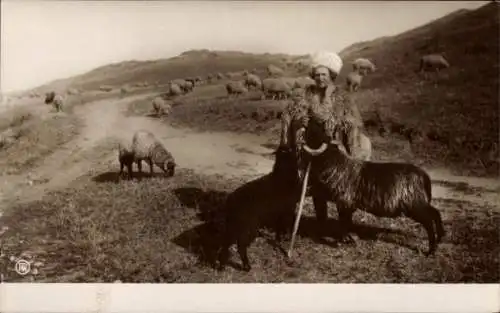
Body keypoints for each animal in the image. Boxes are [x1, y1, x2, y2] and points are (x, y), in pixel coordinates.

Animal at [300, 138, 446, 255]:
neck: (338, 164)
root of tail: (424, 176)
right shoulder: (348, 204)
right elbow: (347, 221)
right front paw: (350, 238)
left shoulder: (344, 202)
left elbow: (344, 222)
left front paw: (345, 239)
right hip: (419, 202)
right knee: (435, 213)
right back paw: (440, 237)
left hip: (414, 205)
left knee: (429, 222)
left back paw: (431, 250)